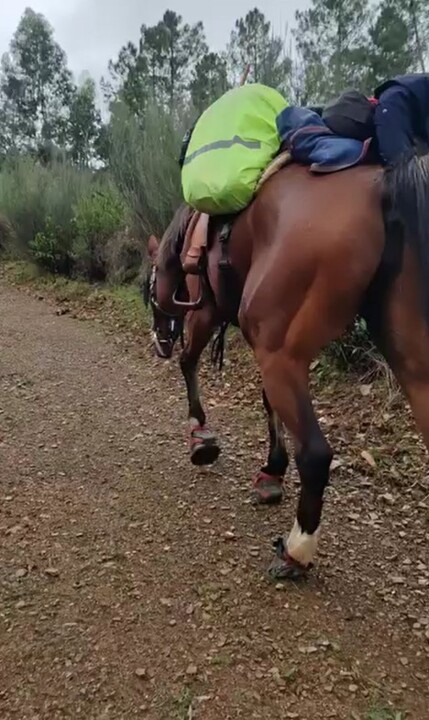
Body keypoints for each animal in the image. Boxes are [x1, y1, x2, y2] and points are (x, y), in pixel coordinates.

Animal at [145, 155, 429, 580]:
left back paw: (297, 549)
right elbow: (267, 402)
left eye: (148, 290)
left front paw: (200, 436)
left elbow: (189, 362)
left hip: (278, 352)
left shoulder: (207, 311)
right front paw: (272, 471)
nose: (159, 340)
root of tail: (382, 185)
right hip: (413, 361)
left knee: (315, 454)